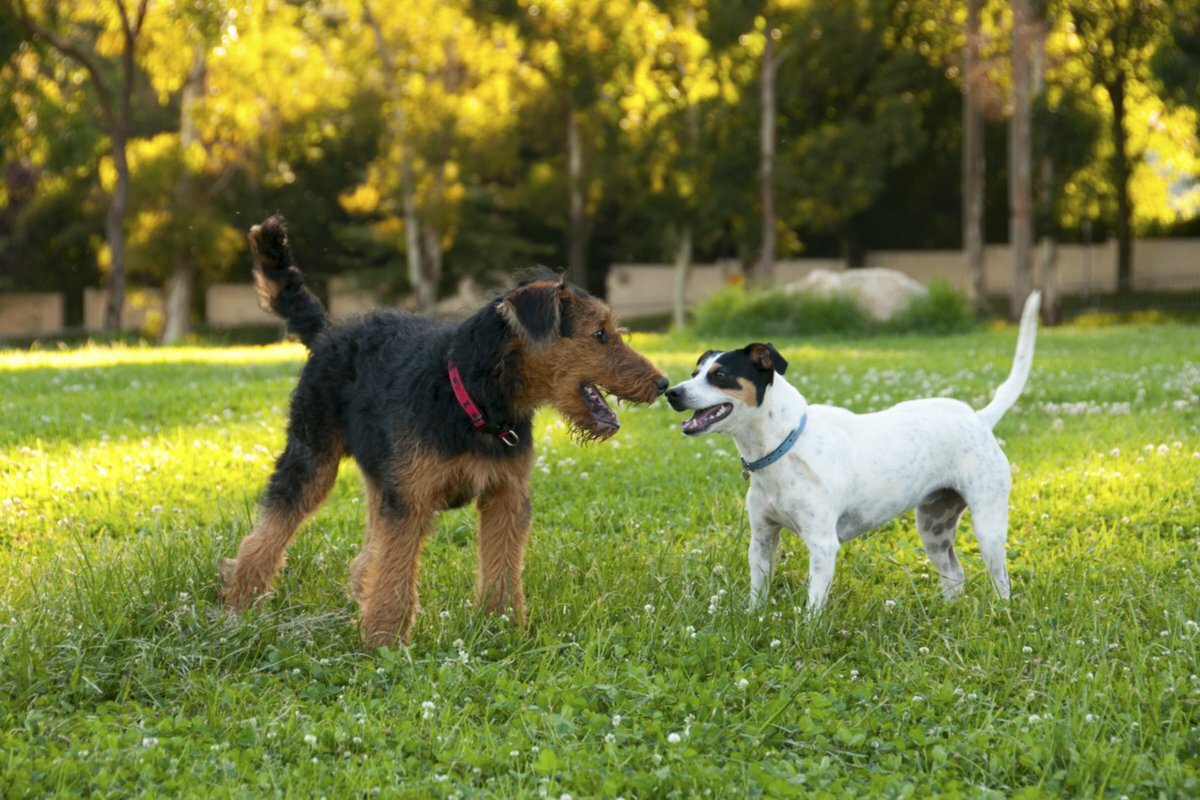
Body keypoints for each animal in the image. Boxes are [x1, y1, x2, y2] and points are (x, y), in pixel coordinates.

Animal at [222, 215, 672, 647]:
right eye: (599, 334)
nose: (662, 384)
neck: (475, 398)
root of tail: (328, 332)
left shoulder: (504, 496)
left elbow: (501, 570)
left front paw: (503, 629)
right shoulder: (413, 500)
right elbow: (397, 574)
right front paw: (384, 642)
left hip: (381, 476)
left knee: (366, 551)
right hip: (312, 458)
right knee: (267, 533)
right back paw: (241, 601)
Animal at [667, 293, 1041, 614]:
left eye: (720, 375)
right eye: (694, 374)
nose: (672, 392)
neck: (783, 446)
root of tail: (979, 418)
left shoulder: (822, 544)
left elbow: (813, 606)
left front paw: (807, 635)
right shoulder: (761, 538)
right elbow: (758, 593)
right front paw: (754, 619)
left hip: (988, 526)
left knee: (1000, 579)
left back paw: (1002, 612)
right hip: (933, 527)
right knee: (954, 573)